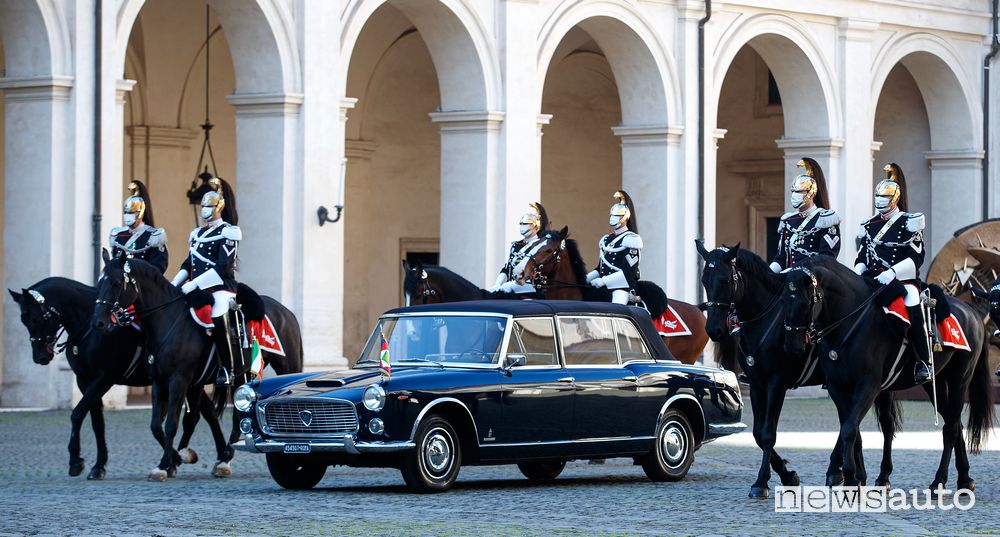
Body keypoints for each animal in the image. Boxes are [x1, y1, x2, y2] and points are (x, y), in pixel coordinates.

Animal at [9, 276, 217, 478]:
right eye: (23, 320)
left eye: (38, 318)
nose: (40, 357)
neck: (90, 328)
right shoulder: (84, 380)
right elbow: (97, 422)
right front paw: (98, 465)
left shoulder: (105, 378)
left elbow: (77, 414)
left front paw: (75, 460)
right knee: (208, 412)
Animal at [94, 253, 304, 480]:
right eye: (99, 282)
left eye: (116, 283)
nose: (99, 322)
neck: (168, 320)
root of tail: (285, 311)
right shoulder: (160, 380)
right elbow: (157, 425)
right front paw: (174, 459)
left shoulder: (179, 380)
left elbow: (171, 424)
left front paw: (166, 464)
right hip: (240, 375)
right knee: (235, 416)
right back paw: (224, 458)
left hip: (285, 367)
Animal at [788, 255, 992, 490]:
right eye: (783, 299)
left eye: (804, 302)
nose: (793, 346)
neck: (850, 321)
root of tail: (971, 311)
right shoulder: (837, 386)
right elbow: (853, 429)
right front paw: (857, 476)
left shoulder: (869, 385)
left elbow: (849, 429)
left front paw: (850, 476)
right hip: (936, 383)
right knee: (954, 423)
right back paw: (965, 479)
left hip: (960, 379)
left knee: (950, 428)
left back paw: (939, 480)